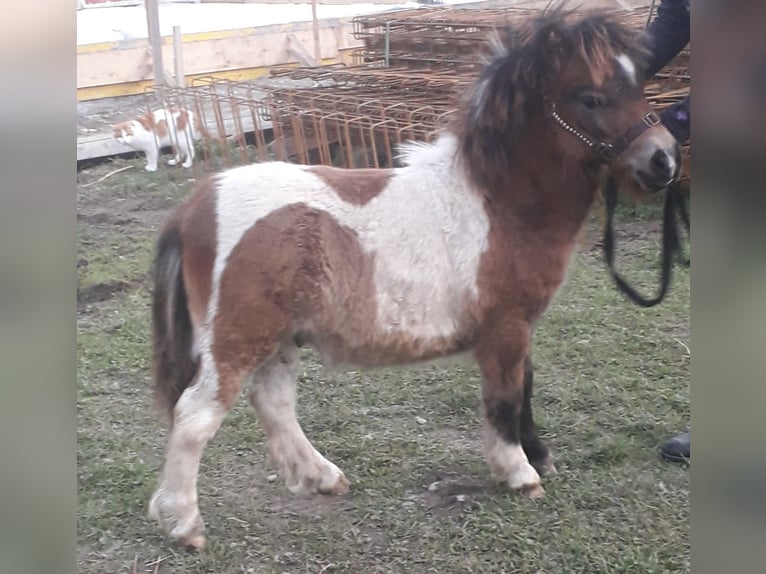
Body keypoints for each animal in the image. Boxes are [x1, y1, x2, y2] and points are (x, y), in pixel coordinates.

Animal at [147, 7, 680, 548]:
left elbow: (525, 385)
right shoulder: (506, 326)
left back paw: (322, 477)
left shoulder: (519, 325)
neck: (498, 202)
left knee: (273, 403)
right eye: (591, 97)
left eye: (639, 83)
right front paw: (519, 473)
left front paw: (538, 456)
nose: (664, 160)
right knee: (194, 416)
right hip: (236, 338)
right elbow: (506, 397)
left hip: (277, 339)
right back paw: (184, 523)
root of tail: (194, 206)